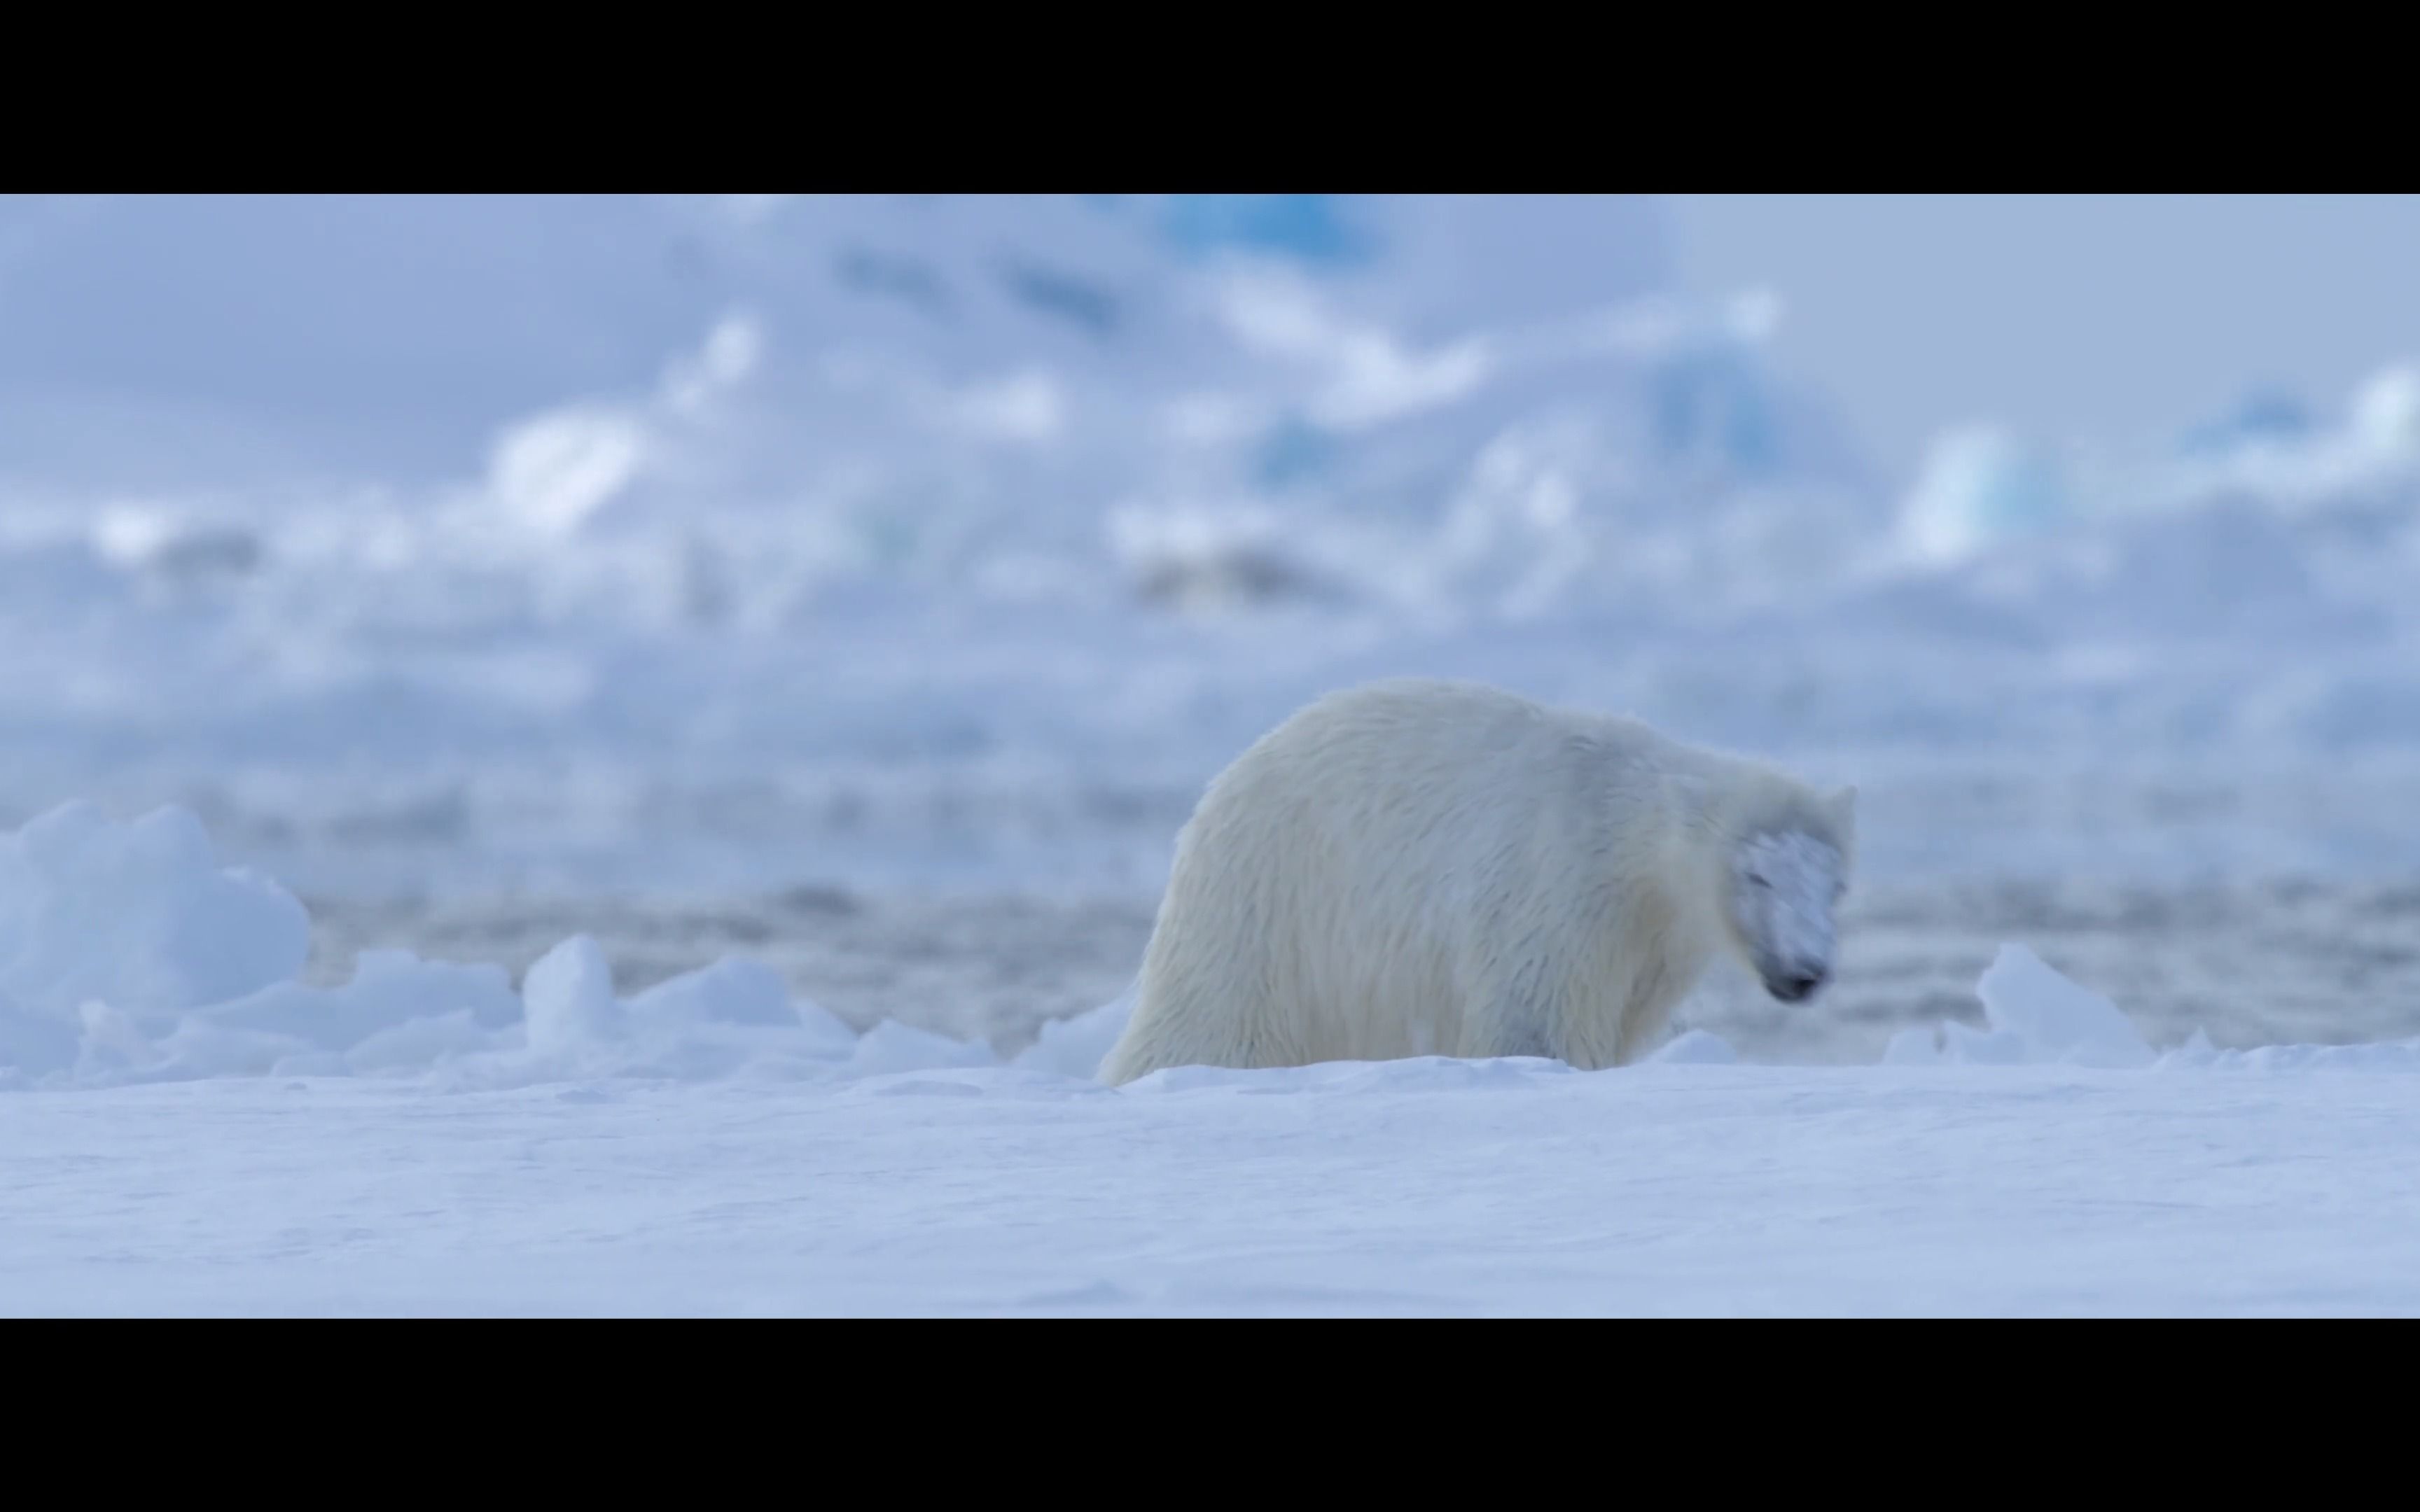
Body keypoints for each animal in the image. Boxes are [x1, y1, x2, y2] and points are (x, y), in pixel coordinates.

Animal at [1097, 677, 1855, 1085]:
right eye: (1758, 875)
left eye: (1836, 885)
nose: (1806, 971)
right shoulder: (1561, 889)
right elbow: (1532, 1020)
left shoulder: (1646, 953)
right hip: (1271, 910)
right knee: (1217, 1024)